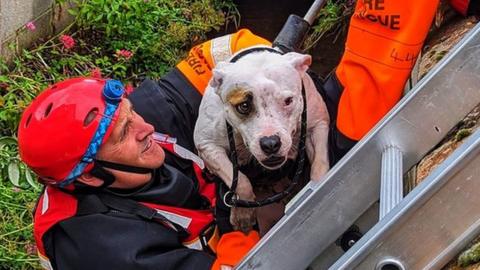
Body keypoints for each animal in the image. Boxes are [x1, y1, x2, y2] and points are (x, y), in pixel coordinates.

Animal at [193, 48, 328, 232]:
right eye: (243, 106)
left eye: (288, 101)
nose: (270, 143)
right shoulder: (207, 145)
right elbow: (240, 181)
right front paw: (243, 213)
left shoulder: (318, 125)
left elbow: (320, 165)